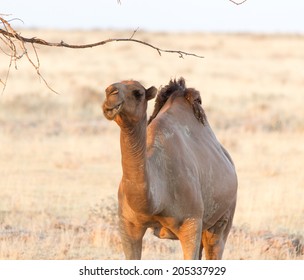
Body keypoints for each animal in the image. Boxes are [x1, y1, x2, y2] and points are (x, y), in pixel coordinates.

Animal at [102, 77, 238, 260]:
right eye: (106, 90)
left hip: (223, 218)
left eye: (138, 93)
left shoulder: (191, 223)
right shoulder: (127, 223)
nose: (111, 92)